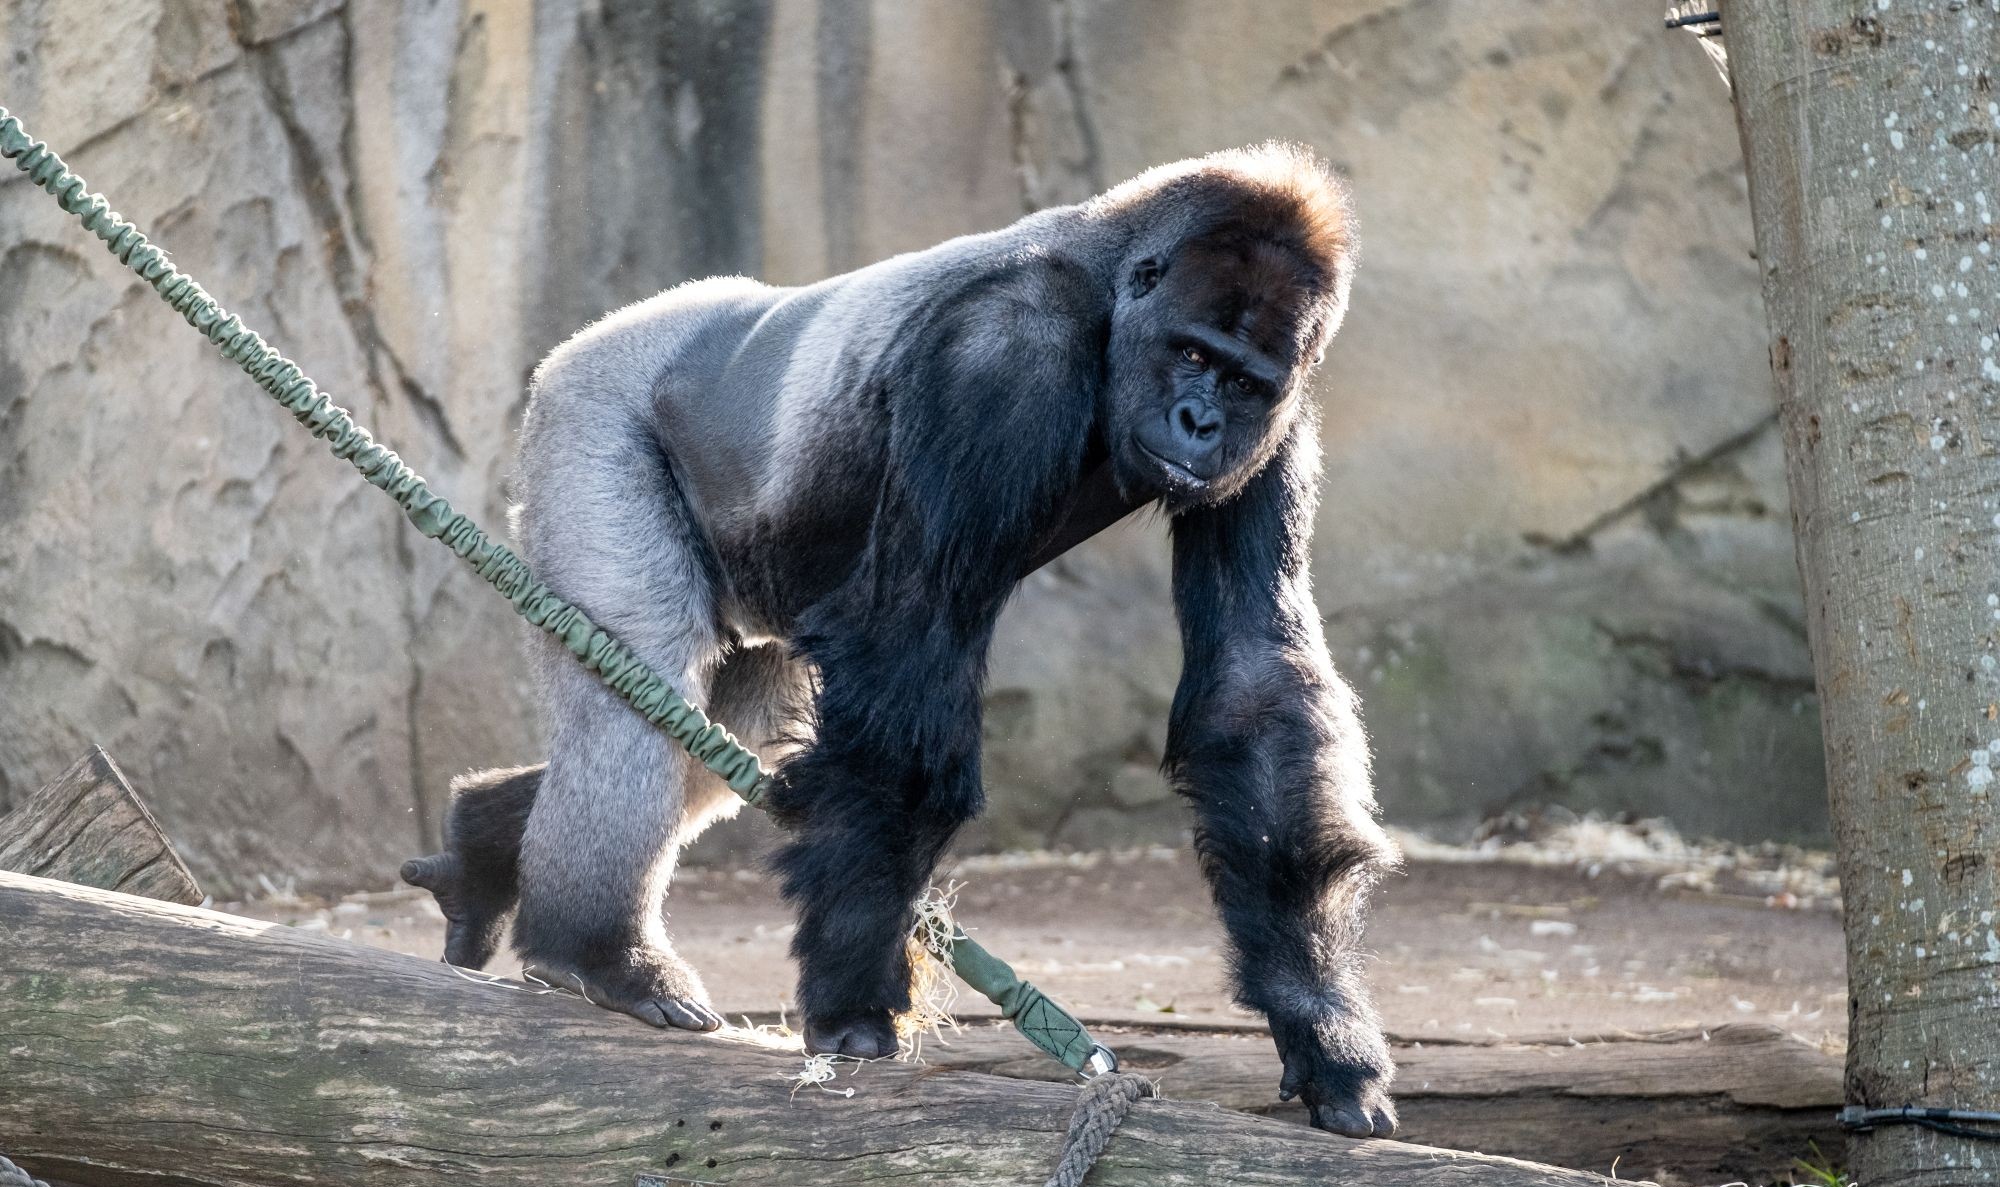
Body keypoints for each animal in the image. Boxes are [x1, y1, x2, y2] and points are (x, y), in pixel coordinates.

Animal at [401, 143, 1400, 1137]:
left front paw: (1322, 1027)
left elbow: (1251, 682)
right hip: (591, 409)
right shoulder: (1000, 356)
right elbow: (910, 642)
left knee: (729, 720)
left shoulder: (1281, 421)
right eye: (1191, 354)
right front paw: (852, 993)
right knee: (641, 677)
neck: (1108, 287)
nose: (1202, 424)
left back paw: (484, 841)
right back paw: (597, 950)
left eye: (1242, 381)